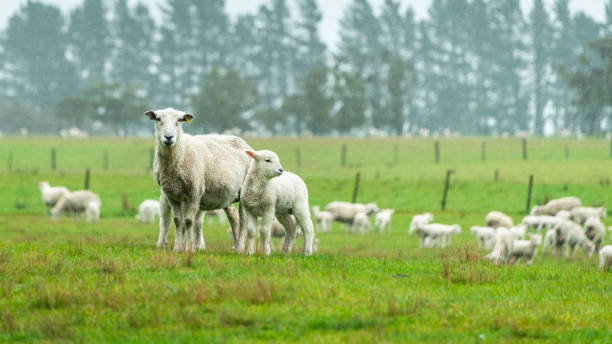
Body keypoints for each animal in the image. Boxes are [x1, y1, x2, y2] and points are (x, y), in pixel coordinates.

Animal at [146, 107, 251, 253]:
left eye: (179, 120)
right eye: (158, 119)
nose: (168, 137)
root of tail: (243, 143)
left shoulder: (194, 193)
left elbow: (189, 221)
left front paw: (189, 249)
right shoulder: (172, 195)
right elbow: (178, 221)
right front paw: (178, 249)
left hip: (245, 192)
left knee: (243, 221)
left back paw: (241, 248)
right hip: (227, 193)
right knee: (234, 217)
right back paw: (236, 248)